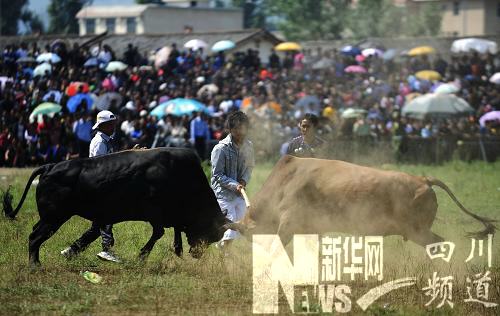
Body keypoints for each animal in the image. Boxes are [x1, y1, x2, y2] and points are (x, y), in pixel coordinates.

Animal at [1, 148, 232, 264]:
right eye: (209, 231)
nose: (198, 254)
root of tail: (49, 166)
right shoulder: (156, 214)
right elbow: (158, 233)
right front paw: (142, 256)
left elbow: (173, 229)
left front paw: (177, 249)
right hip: (54, 218)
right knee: (34, 237)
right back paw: (35, 265)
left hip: (51, 218)